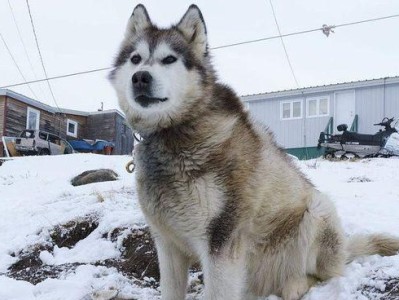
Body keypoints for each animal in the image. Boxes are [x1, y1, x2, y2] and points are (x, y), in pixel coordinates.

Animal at [109, 4, 399, 300]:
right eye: (135, 58)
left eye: (169, 59)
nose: (140, 77)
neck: (172, 134)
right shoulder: (167, 244)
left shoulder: (221, 241)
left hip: (318, 210)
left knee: (321, 275)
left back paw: (295, 284)